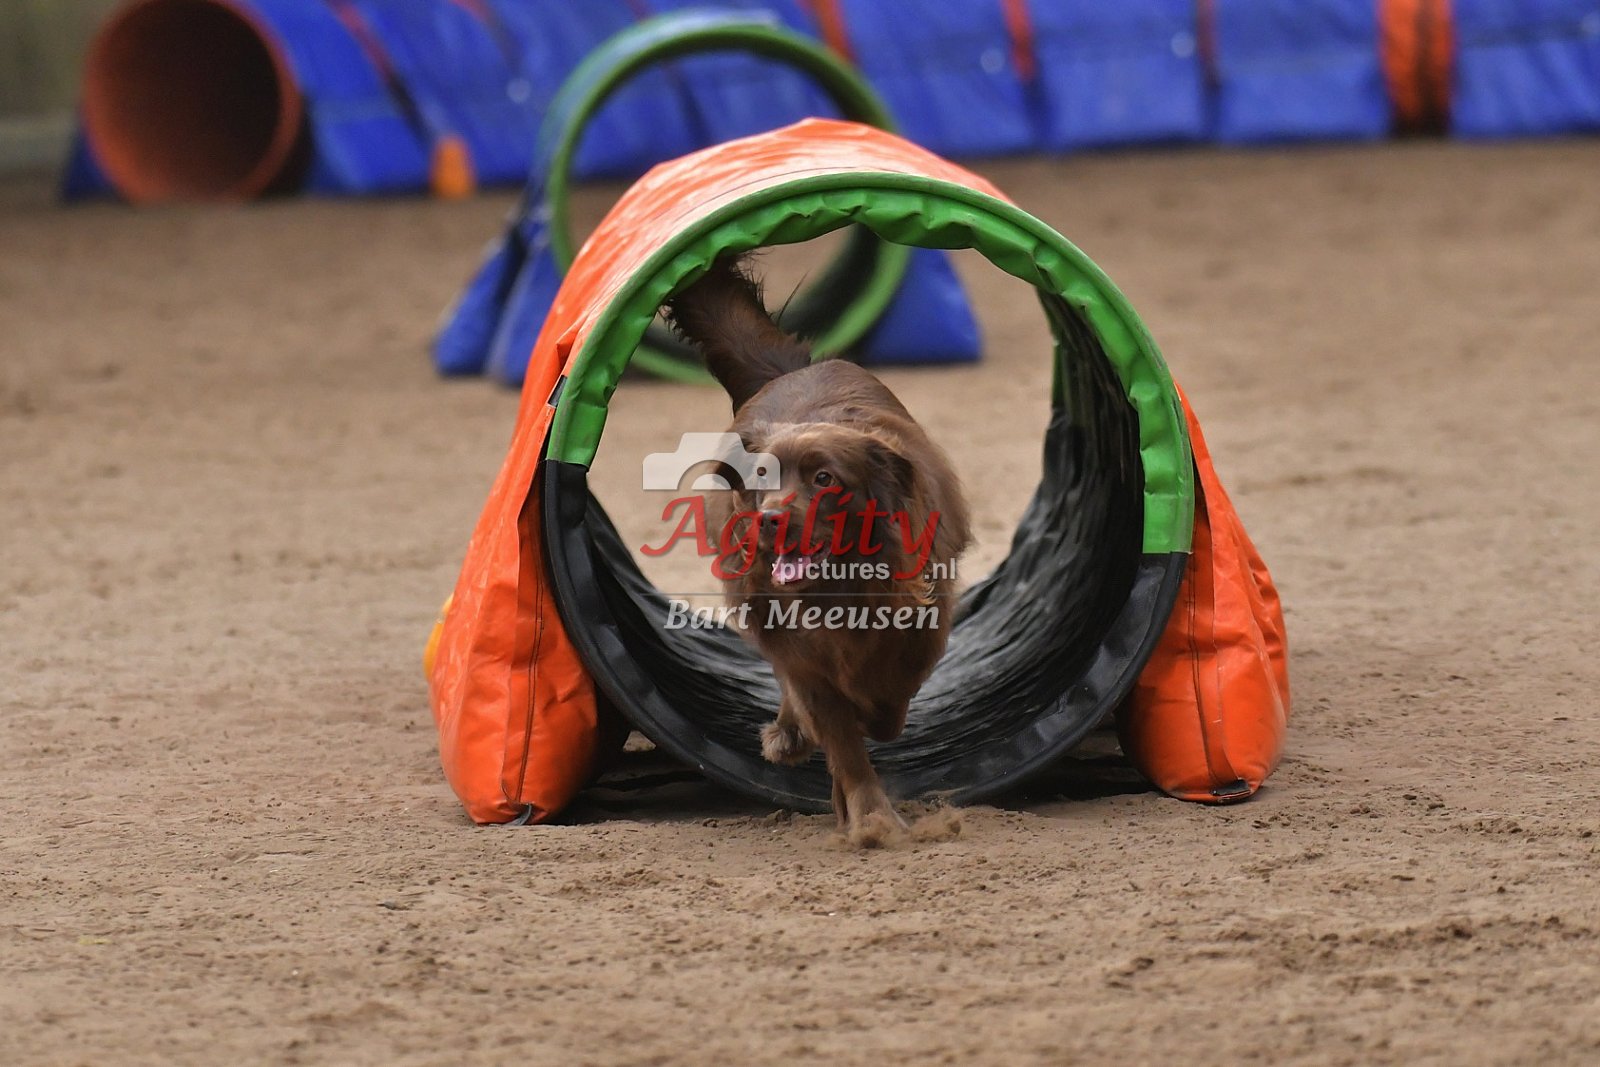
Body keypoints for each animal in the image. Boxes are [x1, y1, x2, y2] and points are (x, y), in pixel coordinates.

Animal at [664, 257, 971, 842]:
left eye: (825, 478)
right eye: (762, 477)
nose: (769, 519)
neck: (837, 586)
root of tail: (789, 372)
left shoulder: (919, 626)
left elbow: (888, 705)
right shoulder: (803, 656)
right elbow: (842, 738)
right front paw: (872, 818)